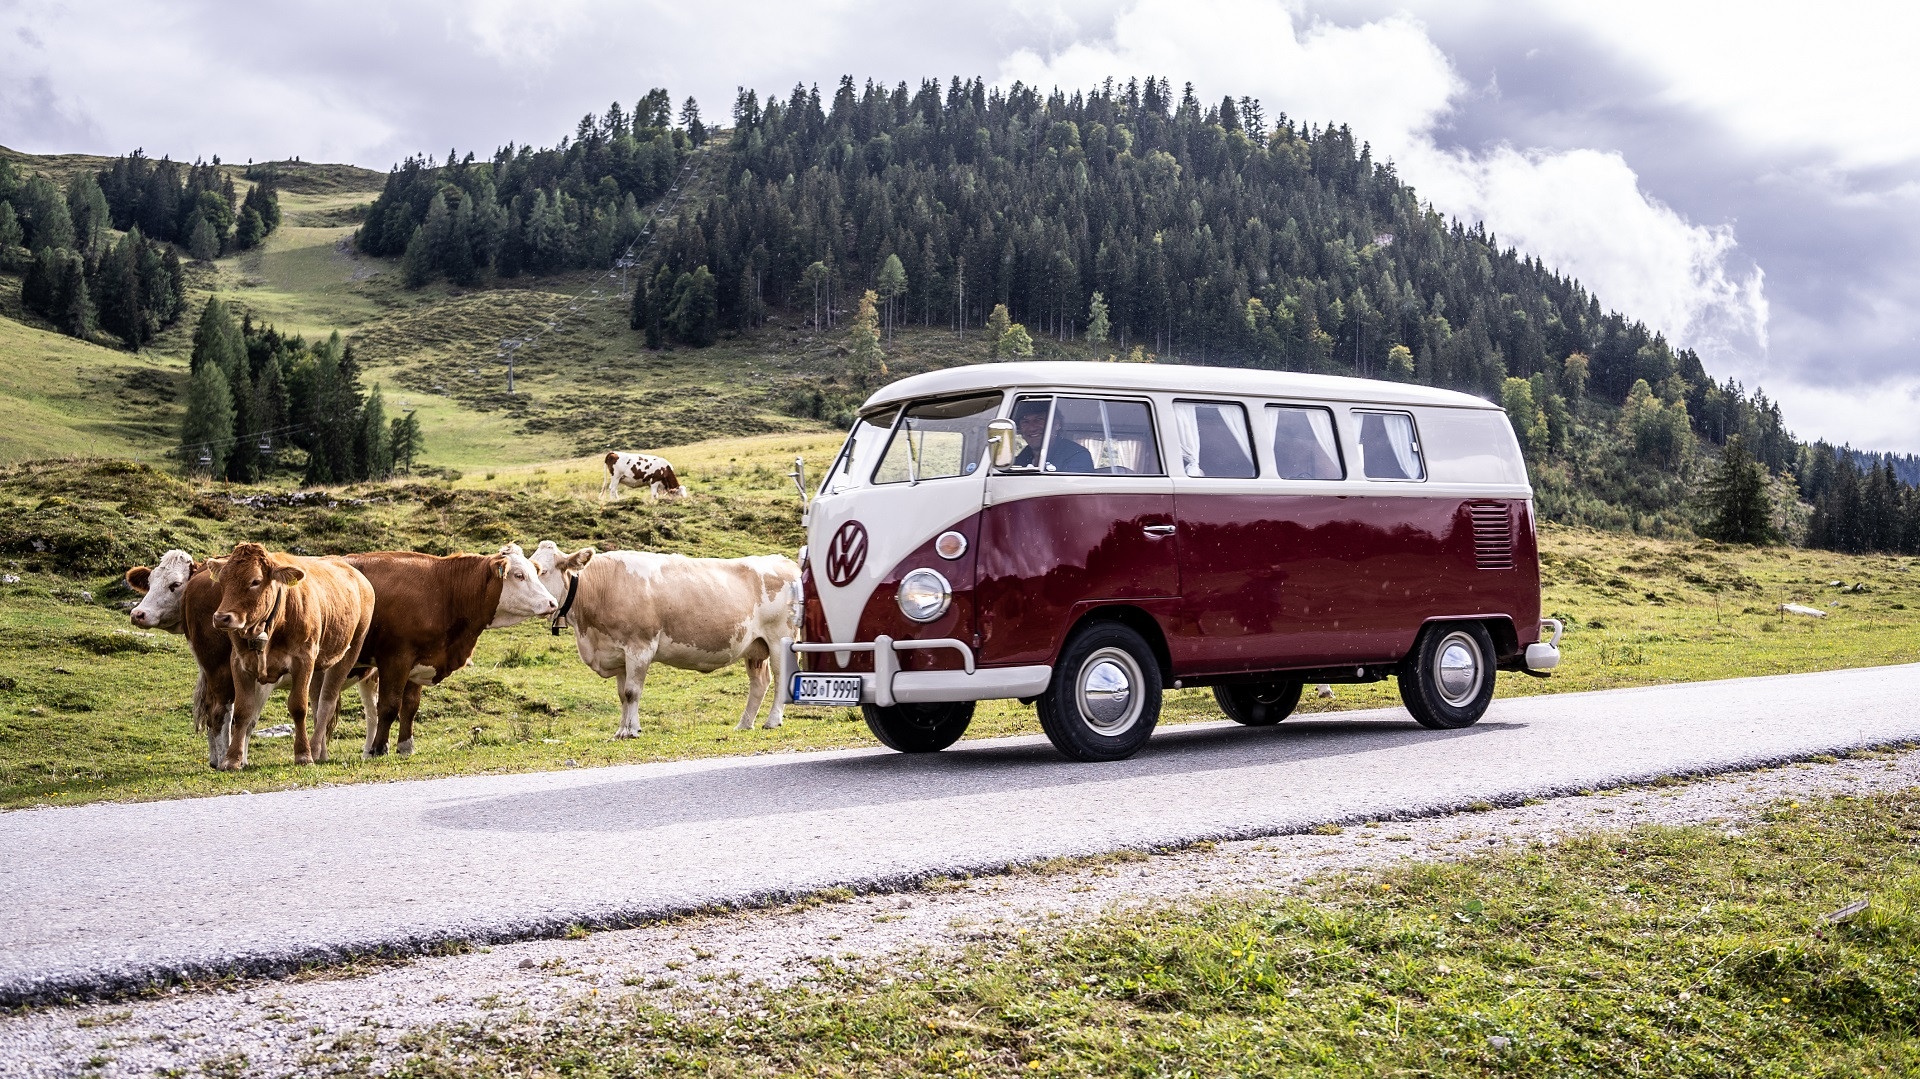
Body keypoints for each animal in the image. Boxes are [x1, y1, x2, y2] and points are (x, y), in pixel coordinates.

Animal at [208, 545, 376, 764]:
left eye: (255, 581)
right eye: (222, 580)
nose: (222, 618)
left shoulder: (303, 661)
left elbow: (298, 707)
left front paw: (303, 754)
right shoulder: (239, 662)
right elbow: (243, 710)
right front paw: (232, 760)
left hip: (348, 653)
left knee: (326, 704)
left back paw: (314, 749)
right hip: (319, 665)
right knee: (317, 703)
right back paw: (321, 753)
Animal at [345, 541, 560, 752]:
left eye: (534, 573)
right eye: (519, 575)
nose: (552, 603)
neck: (444, 592)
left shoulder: (420, 660)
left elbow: (410, 706)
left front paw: (406, 746)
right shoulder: (396, 658)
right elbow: (389, 706)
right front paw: (379, 749)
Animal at [529, 537, 798, 729]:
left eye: (542, 571)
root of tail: (785, 562)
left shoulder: (640, 647)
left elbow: (632, 692)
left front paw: (631, 731)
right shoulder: (618, 653)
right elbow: (621, 695)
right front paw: (620, 730)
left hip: (780, 639)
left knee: (781, 677)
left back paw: (772, 721)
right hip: (755, 647)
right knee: (759, 682)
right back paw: (744, 724)